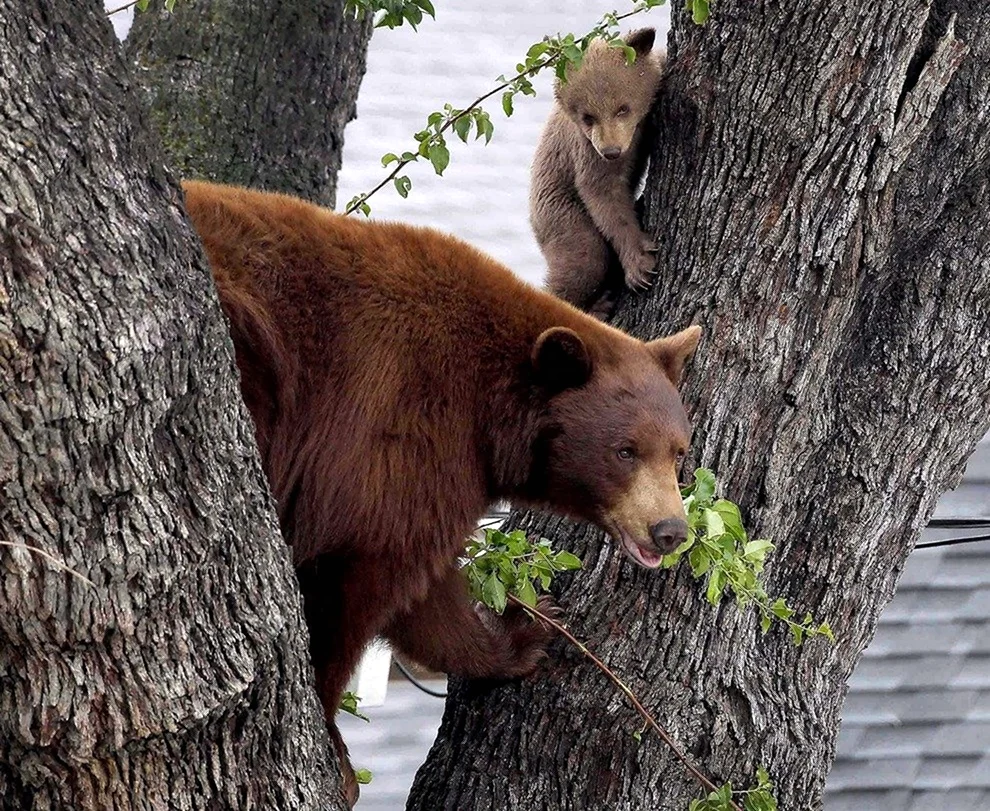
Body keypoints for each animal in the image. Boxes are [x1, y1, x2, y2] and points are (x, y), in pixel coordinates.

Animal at [182, 179, 700, 804]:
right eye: (625, 451)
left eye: (678, 451)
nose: (669, 530)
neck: (491, 410)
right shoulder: (398, 429)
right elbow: (366, 575)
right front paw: (334, 747)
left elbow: (425, 596)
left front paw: (522, 634)